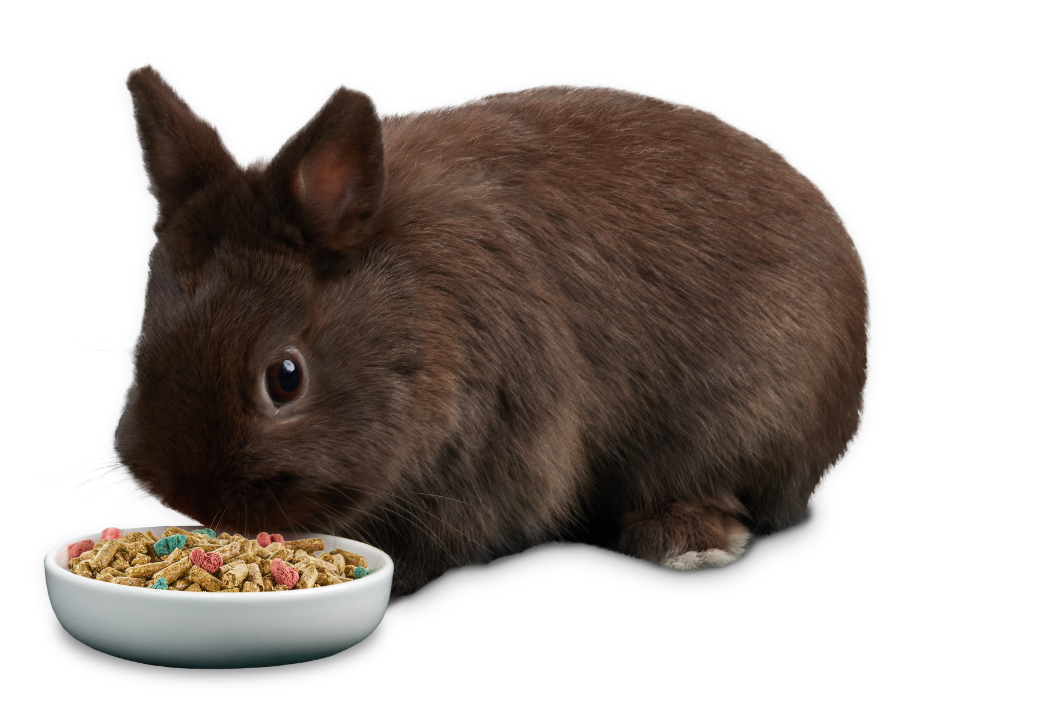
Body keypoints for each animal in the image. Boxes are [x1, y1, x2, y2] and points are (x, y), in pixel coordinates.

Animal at [113, 62, 870, 596]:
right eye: (141, 347)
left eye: (286, 378)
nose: (189, 498)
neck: (417, 314)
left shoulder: (504, 447)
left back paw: (686, 540)